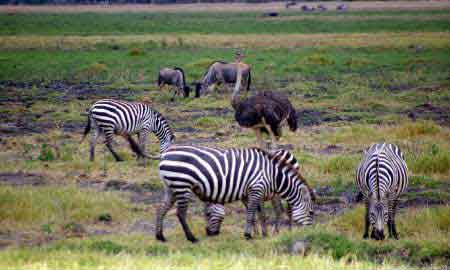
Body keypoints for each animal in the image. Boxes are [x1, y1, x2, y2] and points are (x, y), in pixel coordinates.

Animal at [156, 146, 314, 243]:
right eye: (311, 213)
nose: (310, 232)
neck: (272, 174)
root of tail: (165, 154)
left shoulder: (251, 193)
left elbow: (257, 214)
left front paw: (261, 234)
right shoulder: (256, 188)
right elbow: (251, 214)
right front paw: (249, 235)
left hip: (170, 187)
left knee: (161, 209)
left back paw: (160, 236)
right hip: (182, 185)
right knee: (180, 213)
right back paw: (191, 238)